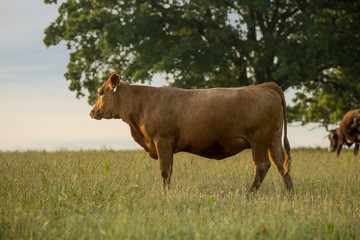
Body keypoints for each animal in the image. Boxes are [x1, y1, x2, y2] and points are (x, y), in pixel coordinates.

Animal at [89, 73, 292, 191]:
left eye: (100, 92)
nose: (92, 112)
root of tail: (264, 85)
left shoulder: (163, 140)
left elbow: (165, 171)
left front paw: (165, 194)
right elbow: (168, 170)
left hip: (259, 140)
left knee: (263, 165)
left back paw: (250, 193)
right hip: (273, 139)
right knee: (281, 164)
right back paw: (290, 192)